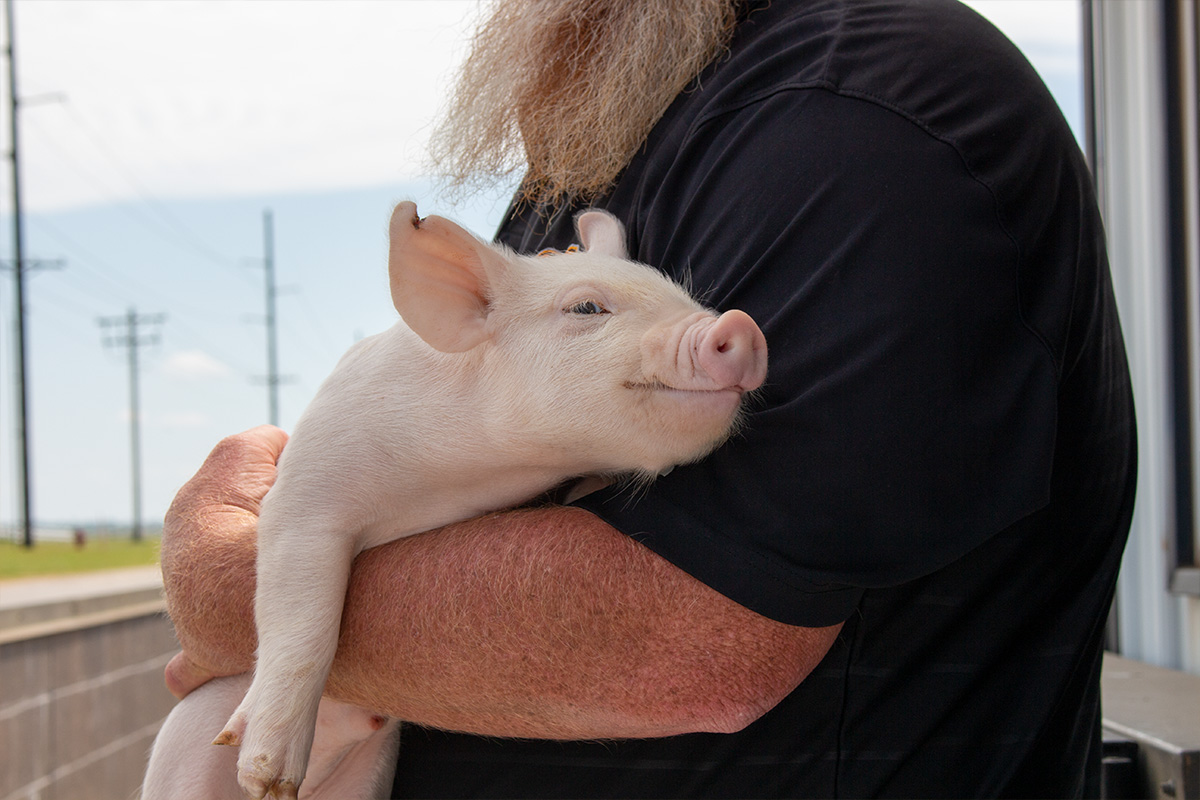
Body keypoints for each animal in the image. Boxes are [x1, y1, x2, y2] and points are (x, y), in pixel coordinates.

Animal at [142, 201, 768, 800]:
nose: (742, 326)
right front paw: (268, 778)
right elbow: (306, 618)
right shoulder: (309, 486)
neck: (464, 475)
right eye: (587, 308)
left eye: (680, 293)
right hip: (183, 749)